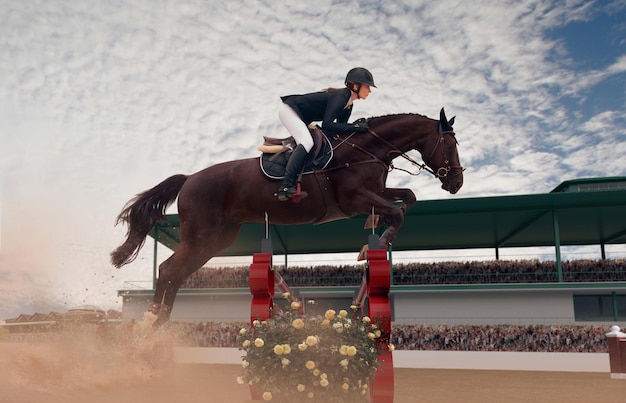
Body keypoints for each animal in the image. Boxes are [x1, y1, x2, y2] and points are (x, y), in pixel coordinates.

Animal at [111, 108, 464, 326]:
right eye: (449, 144)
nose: (457, 183)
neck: (366, 149)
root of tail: (189, 178)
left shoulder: (375, 192)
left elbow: (408, 198)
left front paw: (374, 232)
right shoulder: (355, 198)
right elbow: (397, 212)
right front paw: (372, 246)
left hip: (216, 240)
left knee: (176, 272)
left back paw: (159, 323)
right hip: (202, 234)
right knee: (169, 269)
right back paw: (151, 321)